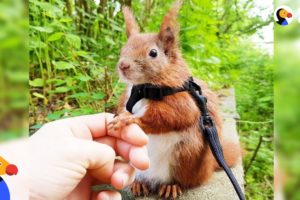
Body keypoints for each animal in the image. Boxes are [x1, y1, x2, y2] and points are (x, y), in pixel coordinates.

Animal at [108, 1, 241, 198]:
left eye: (153, 53)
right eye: (122, 49)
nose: (123, 65)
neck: (143, 88)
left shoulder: (183, 100)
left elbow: (174, 116)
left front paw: (129, 119)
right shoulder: (126, 97)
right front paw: (119, 115)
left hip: (186, 156)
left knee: (183, 181)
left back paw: (171, 186)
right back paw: (139, 183)